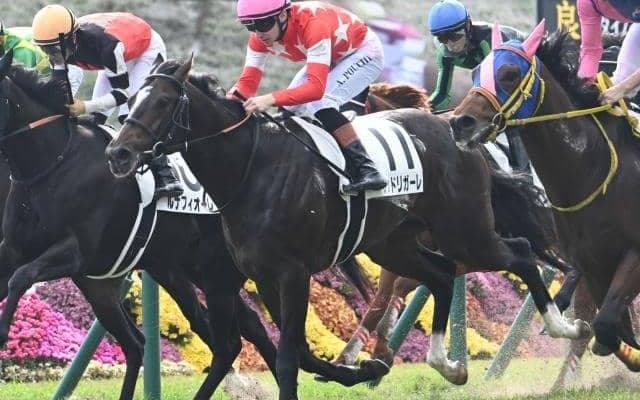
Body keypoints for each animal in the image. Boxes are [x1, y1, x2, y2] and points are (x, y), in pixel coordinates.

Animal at [0, 50, 284, 400]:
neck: (53, 162)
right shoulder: (14, 249)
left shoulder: (75, 252)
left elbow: (21, 277)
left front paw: (2, 334)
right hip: (159, 275)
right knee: (145, 342)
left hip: (213, 274)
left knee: (228, 341)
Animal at [106, 56, 590, 399]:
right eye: (130, 103)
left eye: (162, 102)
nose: (118, 154)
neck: (252, 168)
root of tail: (456, 130)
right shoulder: (264, 276)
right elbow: (299, 353)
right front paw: (364, 368)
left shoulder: (292, 273)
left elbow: (288, 357)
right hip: (393, 243)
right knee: (439, 274)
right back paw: (448, 365)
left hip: (465, 231)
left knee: (520, 252)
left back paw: (567, 327)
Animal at [450, 23, 640, 372]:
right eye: (475, 74)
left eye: (510, 74)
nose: (461, 122)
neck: (591, 170)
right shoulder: (594, 264)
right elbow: (607, 329)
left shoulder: (633, 252)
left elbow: (608, 324)